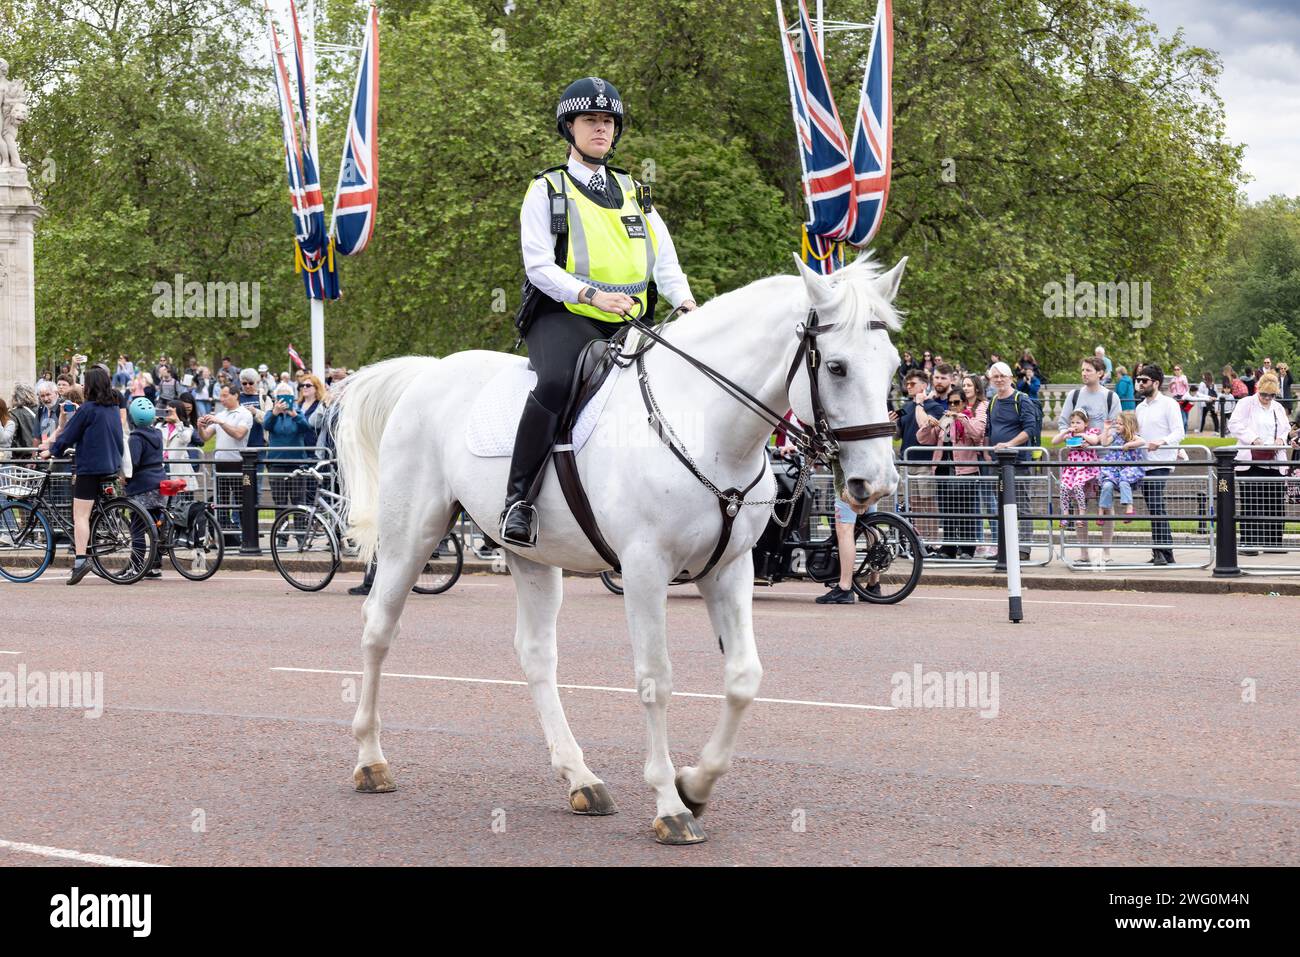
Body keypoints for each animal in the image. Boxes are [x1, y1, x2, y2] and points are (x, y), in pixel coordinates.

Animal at [335, 252, 904, 842]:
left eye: (893, 366)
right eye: (836, 367)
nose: (877, 482)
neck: (705, 425)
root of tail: (428, 372)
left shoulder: (728, 568)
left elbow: (744, 677)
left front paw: (695, 785)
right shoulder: (645, 569)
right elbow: (656, 679)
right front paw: (670, 805)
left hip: (533, 558)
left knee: (536, 653)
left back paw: (579, 777)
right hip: (411, 537)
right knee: (379, 628)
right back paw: (371, 760)